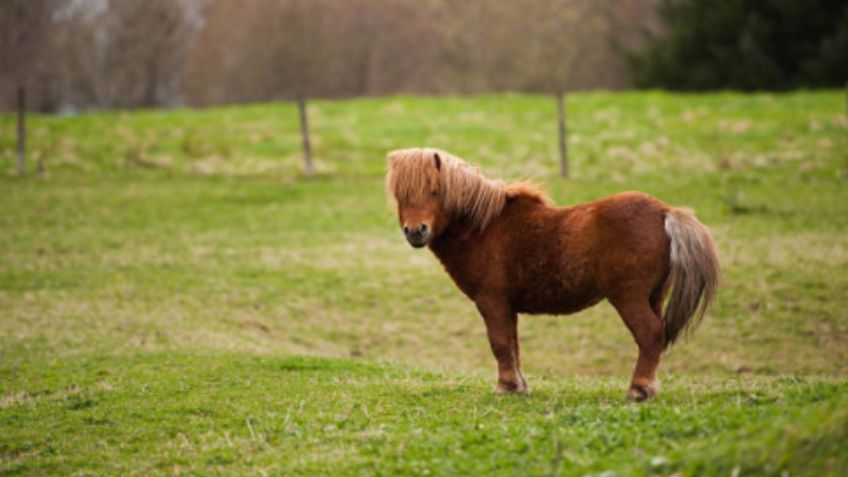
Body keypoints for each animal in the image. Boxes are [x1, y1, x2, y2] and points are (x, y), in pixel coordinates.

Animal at [388, 147, 720, 400]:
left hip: (629, 297)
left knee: (650, 334)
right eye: (399, 195)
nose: (416, 231)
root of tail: (665, 212)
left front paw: (506, 387)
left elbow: (499, 343)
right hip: (653, 296)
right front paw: (518, 386)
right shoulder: (507, 307)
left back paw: (638, 390)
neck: (484, 227)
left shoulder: (491, 302)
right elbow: (512, 345)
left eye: (434, 191)